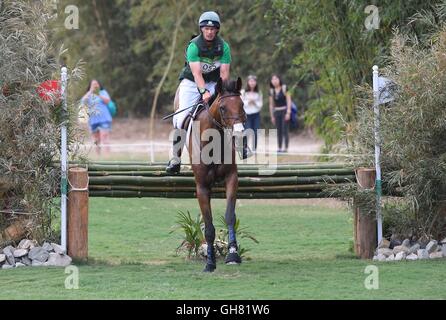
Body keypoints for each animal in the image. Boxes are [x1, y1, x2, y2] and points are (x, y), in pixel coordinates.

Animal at [174, 77, 246, 272]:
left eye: (242, 104)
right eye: (223, 108)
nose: (239, 133)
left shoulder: (231, 179)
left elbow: (230, 216)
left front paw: (233, 254)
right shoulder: (202, 187)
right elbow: (208, 227)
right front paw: (210, 263)